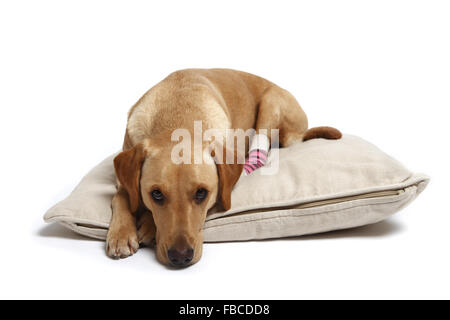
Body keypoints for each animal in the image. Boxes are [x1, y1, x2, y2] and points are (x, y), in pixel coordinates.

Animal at [106, 69, 342, 266]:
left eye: (202, 193)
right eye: (156, 194)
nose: (180, 257)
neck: (177, 115)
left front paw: (147, 225)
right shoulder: (122, 177)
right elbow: (122, 196)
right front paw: (121, 233)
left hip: (271, 102)